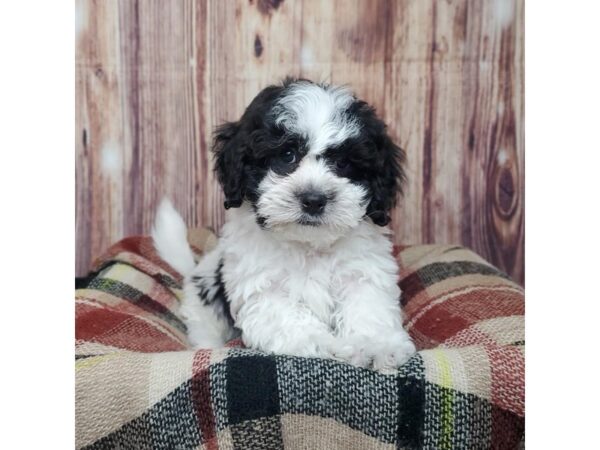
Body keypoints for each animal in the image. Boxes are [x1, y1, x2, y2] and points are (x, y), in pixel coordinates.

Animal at [155, 78, 414, 370]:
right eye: (287, 155)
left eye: (342, 163)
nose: (313, 199)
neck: (308, 245)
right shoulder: (262, 285)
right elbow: (285, 316)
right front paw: (317, 342)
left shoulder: (363, 272)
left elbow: (369, 305)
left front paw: (374, 345)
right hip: (204, 310)